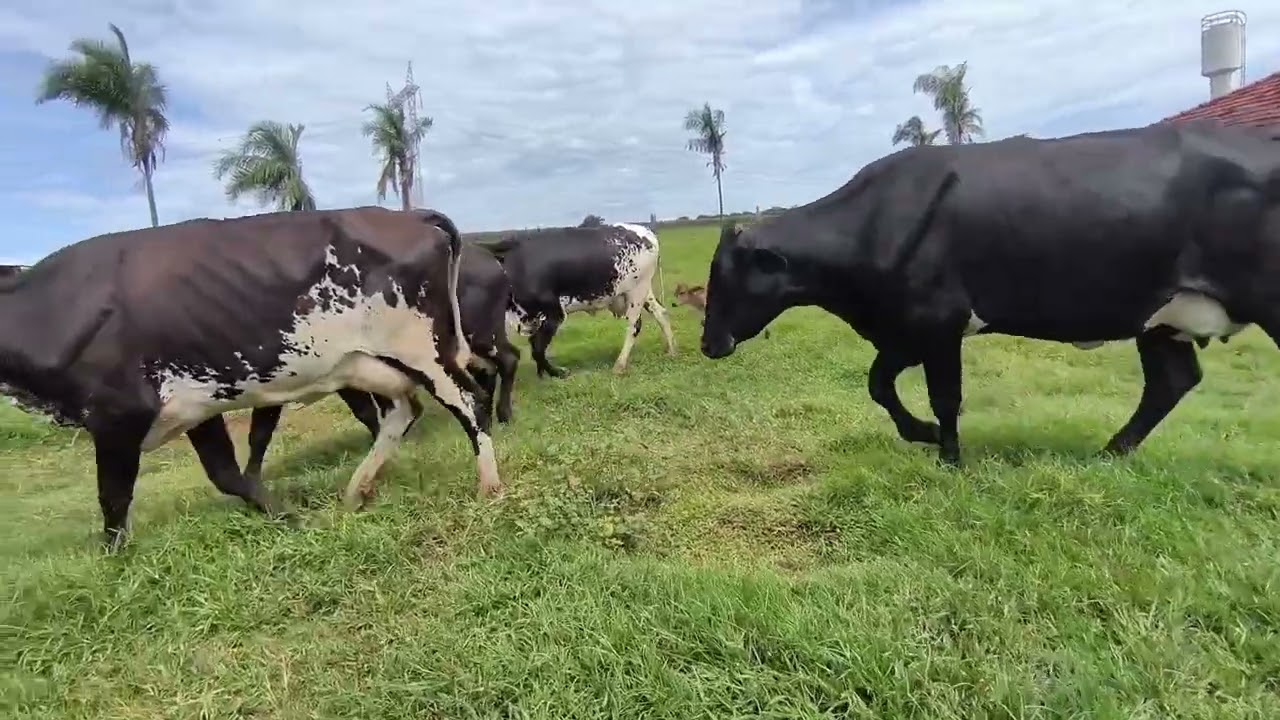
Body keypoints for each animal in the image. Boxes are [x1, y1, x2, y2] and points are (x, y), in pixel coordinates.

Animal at [236, 241, 522, 486]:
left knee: (507, 361)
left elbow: (366, 411)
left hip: (480, 336)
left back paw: (503, 414)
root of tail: (489, 258)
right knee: (489, 371)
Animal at [479, 222, 676, 377]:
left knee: (634, 325)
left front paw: (556, 373)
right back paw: (672, 351)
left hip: (637, 290)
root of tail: (646, 232)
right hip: (643, 292)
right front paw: (543, 373)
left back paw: (620, 365)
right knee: (661, 313)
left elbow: (537, 349)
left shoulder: (554, 314)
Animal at [698, 121, 1280, 467]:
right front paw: (925, 434)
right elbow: (879, 385)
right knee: (1170, 383)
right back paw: (1109, 453)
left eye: (726, 278)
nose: (708, 342)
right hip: (1160, 319)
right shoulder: (906, 329)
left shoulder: (939, 320)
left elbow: (944, 395)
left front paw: (949, 457)